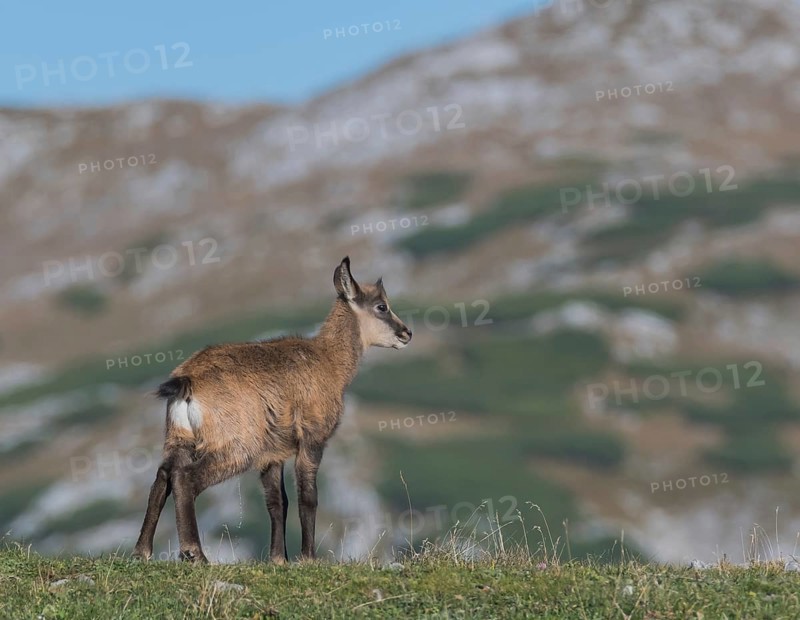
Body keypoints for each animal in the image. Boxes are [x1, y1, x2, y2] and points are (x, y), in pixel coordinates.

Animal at [132, 257, 412, 563]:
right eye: (382, 306)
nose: (407, 333)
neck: (330, 362)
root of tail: (188, 380)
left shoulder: (272, 453)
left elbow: (277, 502)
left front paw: (279, 558)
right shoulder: (312, 438)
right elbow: (308, 496)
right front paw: (308, 557)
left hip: (179, 438)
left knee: (163, 476)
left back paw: (142, 551)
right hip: (236, 446)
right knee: (185, 478)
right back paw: (195, 553)